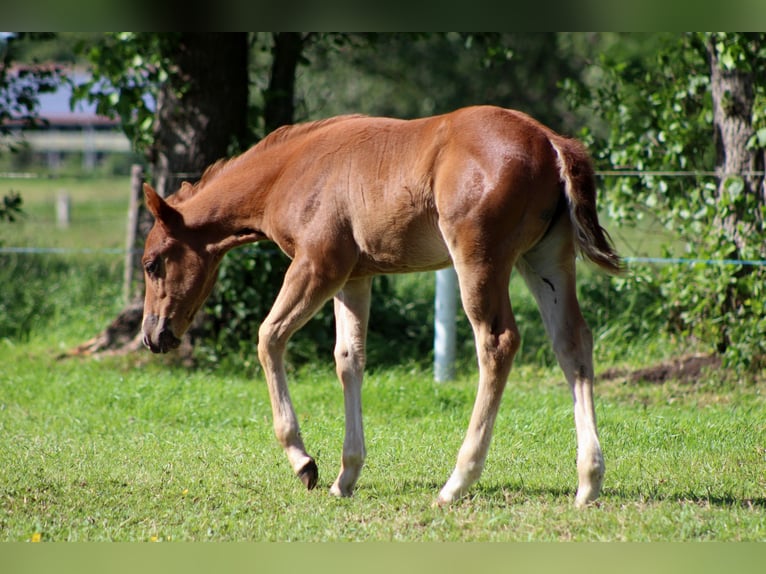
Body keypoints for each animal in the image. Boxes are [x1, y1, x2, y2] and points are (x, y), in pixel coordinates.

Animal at [140, 105, 622, 508]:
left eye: (151, 263)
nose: (152, 336)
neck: (290, 172)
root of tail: (549, 141)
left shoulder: (318, 265)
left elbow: (268, 337)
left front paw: (303, 462)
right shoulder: (354, 277)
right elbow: (348, 359)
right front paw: (345, 475)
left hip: (480, 259)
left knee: (498, 342)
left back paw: (457, 482)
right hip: (545, 259)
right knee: (572, 344)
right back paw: (588, 482)